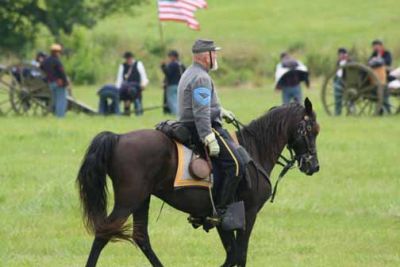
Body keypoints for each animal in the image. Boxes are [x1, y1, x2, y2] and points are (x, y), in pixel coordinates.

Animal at [76, 99, 320, 267]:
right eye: (310, 130)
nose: (314, 166)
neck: (255, 149)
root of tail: (118, 138)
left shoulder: (223, 218)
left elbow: (232, 254)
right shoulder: (247, 214)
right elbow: (239, 255)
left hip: (141, 200)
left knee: (141, 237)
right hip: (128, 201)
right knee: (104, 233)